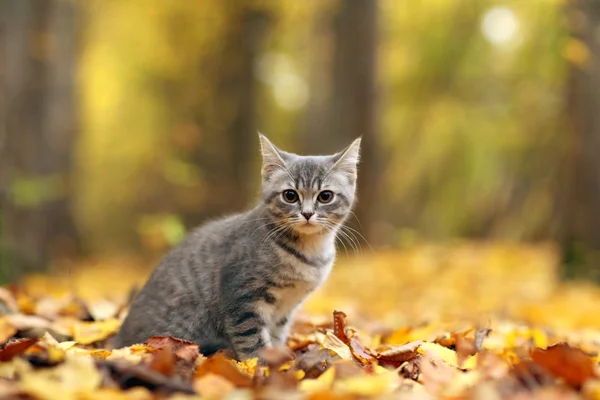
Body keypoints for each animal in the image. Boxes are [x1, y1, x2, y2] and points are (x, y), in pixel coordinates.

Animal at [117, 134, 360, 360]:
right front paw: (260, 367)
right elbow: (252, 342)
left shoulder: (285, 308)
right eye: (290, 195)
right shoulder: (242, 298)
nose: (308, 213)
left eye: (325, 196)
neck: (310, 251)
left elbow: (275, 335)